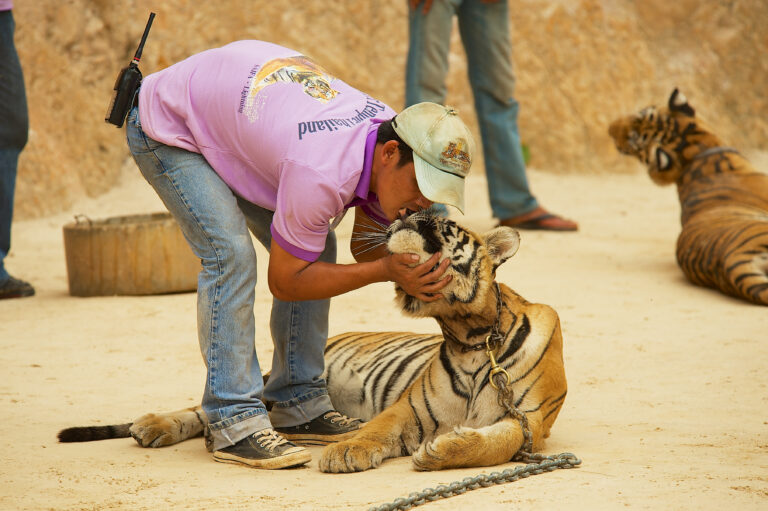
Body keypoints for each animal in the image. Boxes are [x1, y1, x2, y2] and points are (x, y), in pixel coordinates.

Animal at [58, 211, 568, 472]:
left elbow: (498, 443)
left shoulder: (529, 420)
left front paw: (442, 450)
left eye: (444, 221)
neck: (468, 334)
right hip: (268, 378)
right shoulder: (410, 406)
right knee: (208, 408)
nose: (407, 211)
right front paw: (348, 451)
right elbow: (378, 427)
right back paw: (154, 425)